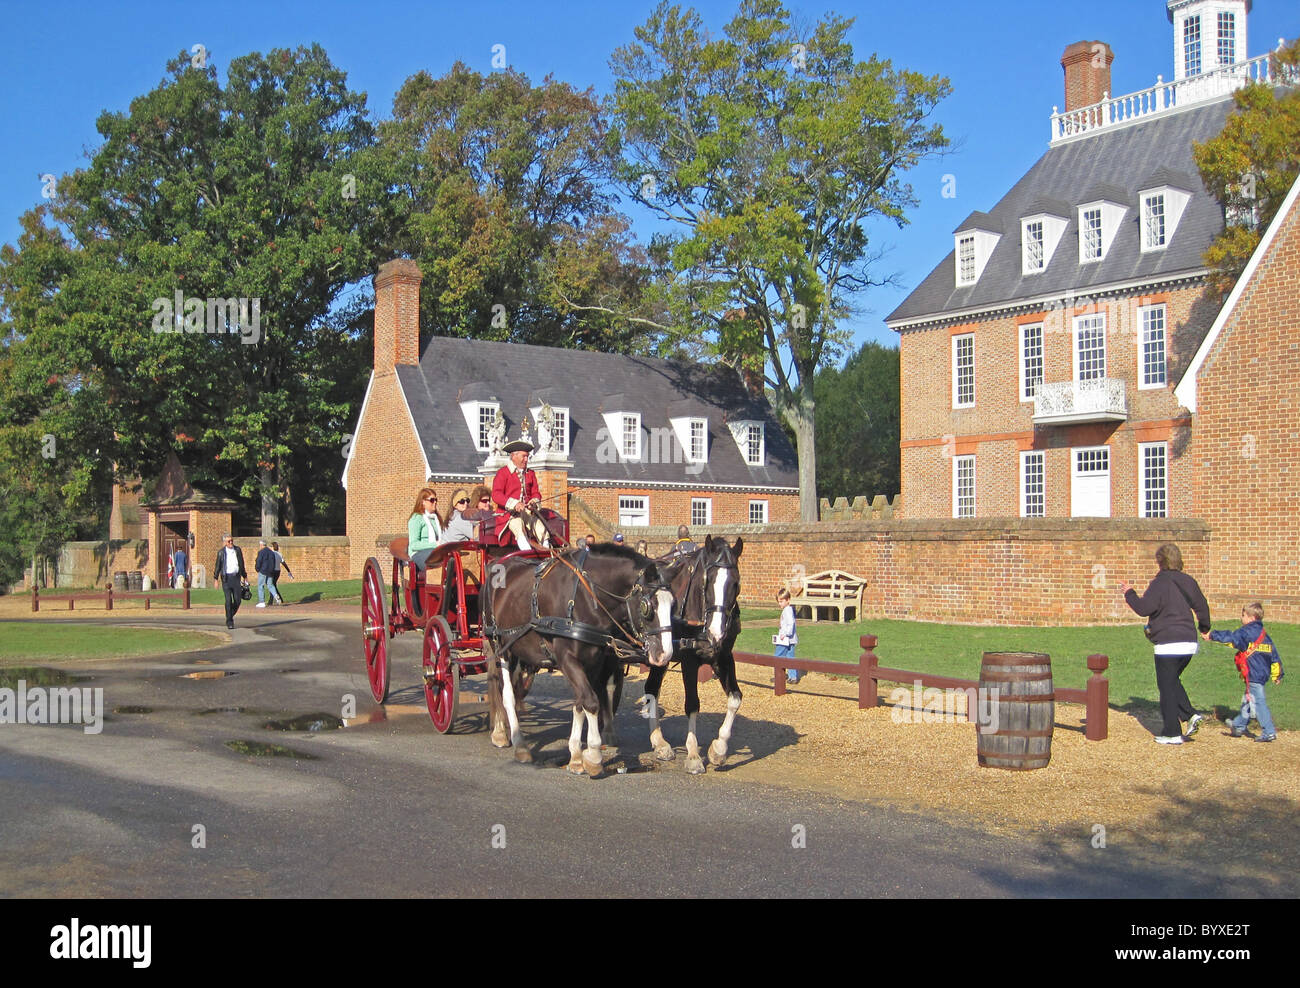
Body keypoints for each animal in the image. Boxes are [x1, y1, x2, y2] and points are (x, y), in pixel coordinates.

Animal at [483, 543, 676, 774]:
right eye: (647, 606)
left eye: (673, 604)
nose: (665, 654)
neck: (585, 598)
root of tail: (497, 563)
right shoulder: (567, 658)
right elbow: (591, 702)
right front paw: (593, 754)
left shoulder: (593, 660)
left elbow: (580, 703)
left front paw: (576, 755)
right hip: (502, 647)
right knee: (506, 694)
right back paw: (516, 742)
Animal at [639, 535, 743, 774]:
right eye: (708, 581)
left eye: (736, 583)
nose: (716, 632)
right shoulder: (689, 660)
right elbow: (692, 704)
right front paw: (694, 755)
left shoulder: (723, 657)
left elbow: (735, 698)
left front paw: (718, 749)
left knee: (652, 689)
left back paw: (659, 741)